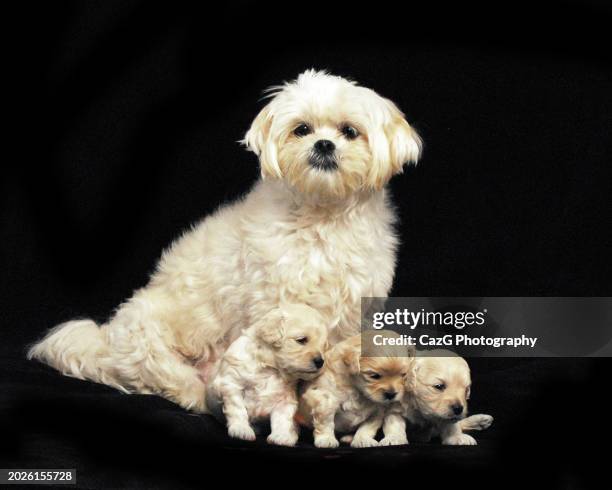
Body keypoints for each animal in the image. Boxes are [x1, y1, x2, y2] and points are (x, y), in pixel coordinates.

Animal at [28, 70, 420, 414]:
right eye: (302, 129)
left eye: (350, 132)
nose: (324, 144)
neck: (323, 217)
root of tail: (104, 339)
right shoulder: (275, 306)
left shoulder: (352, 313)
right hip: (147, 336)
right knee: (164, 376)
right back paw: (196, 395)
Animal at [207, 302, 330, 444]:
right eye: (301, 340)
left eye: (323, 346)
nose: (320, 361)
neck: (272, 368)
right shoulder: (231, 383)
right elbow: (237, 409)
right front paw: (241, 429)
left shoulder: (284, 399)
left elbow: (283, 419)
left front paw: (282, 436)